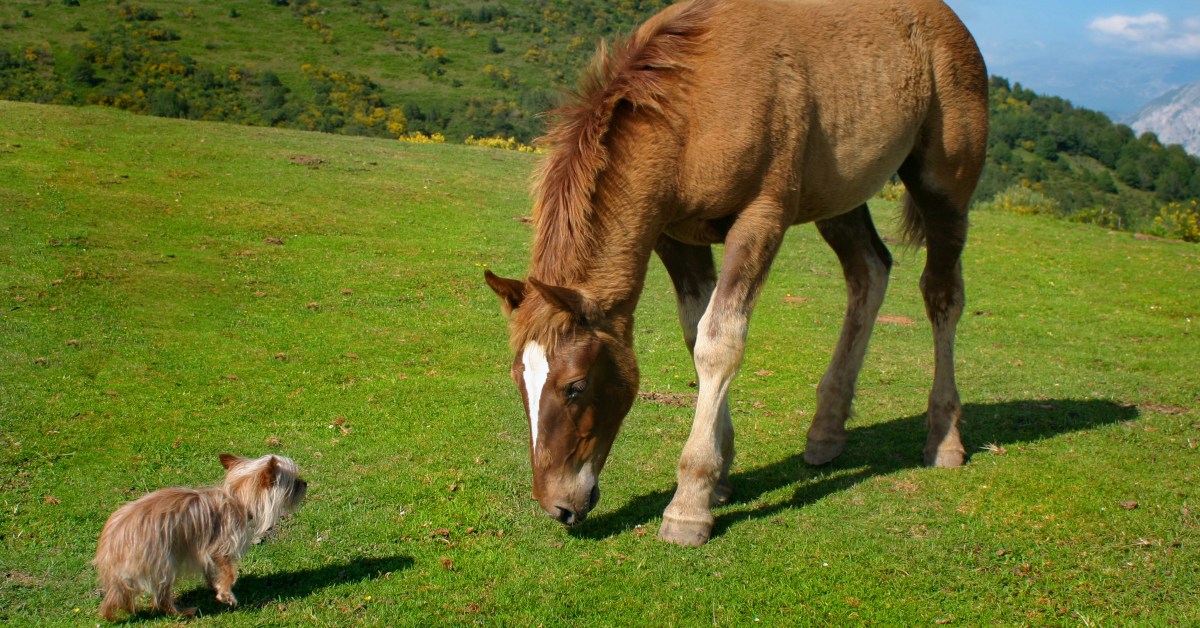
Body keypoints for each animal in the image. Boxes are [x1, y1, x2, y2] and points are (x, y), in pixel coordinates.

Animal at [94, 453, 309, 619]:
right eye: (294, 482)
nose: (305, 483)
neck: (237, 499)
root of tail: (112, 546)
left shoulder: (201, 552)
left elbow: (211, 571)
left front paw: (215, 586)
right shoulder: (219, 546)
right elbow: (230, 572)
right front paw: (226, 594)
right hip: (164, 562)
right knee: (161, 597)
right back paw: (182, 612)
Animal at [482, 0, 988, 545]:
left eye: (575, 386)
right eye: (519, 380)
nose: (557, 506)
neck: (692, 110)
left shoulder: (761, 219)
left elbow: (719, 341)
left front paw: (689, 504)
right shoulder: (675, 235)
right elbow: (695, 334)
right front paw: (721, 476)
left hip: (944, 185)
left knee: (942, 294)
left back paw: (944, 437)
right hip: (839, 195)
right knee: (869, 271)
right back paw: (827, 430)